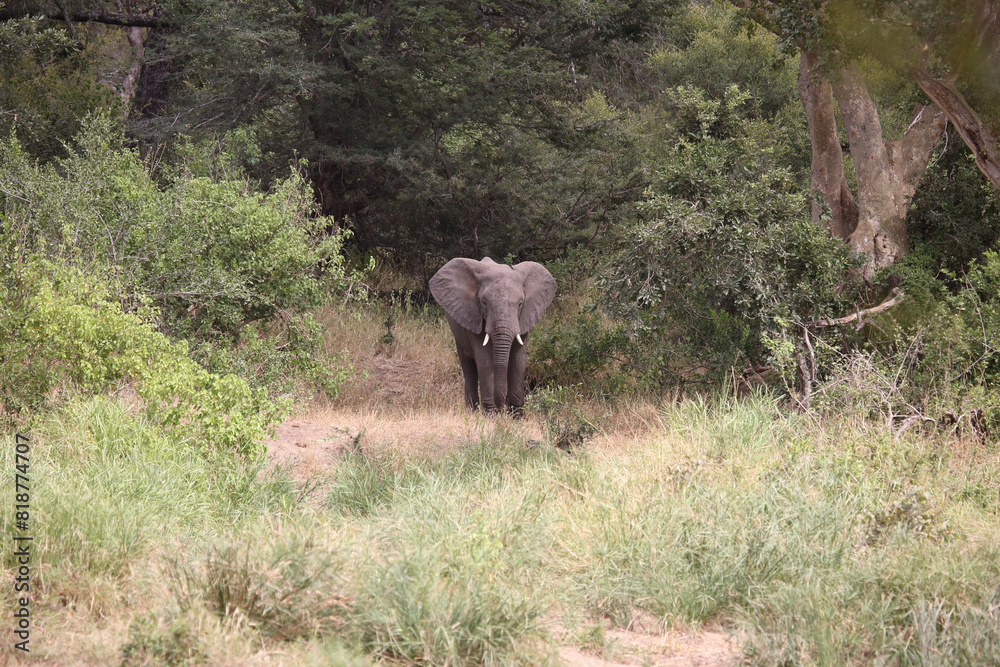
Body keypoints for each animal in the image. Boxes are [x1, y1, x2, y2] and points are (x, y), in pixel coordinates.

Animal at [430, 257, 557, 414]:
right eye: (484, 303)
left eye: (520, 304)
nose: (502, 406)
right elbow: (484, 361)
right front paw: (490, 415)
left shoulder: (525, 317)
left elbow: (518, 359)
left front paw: (517, 415)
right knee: (469, 369)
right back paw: (471, 411)